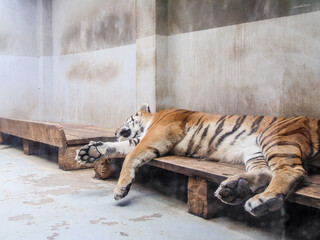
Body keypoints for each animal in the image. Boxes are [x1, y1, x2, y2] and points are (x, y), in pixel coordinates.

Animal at [75, 104, 320, 217]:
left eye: (126, 119)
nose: (116, 130)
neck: (151, 120)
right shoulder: (142, 139)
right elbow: (118, 148)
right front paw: (89, 152)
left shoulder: (155, 136)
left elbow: (130, 157)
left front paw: (121, 189)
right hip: (255, 151)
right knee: (267, 172)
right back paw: (234, 188)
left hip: (275, 139)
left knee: (292, 171)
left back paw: (263, 201)